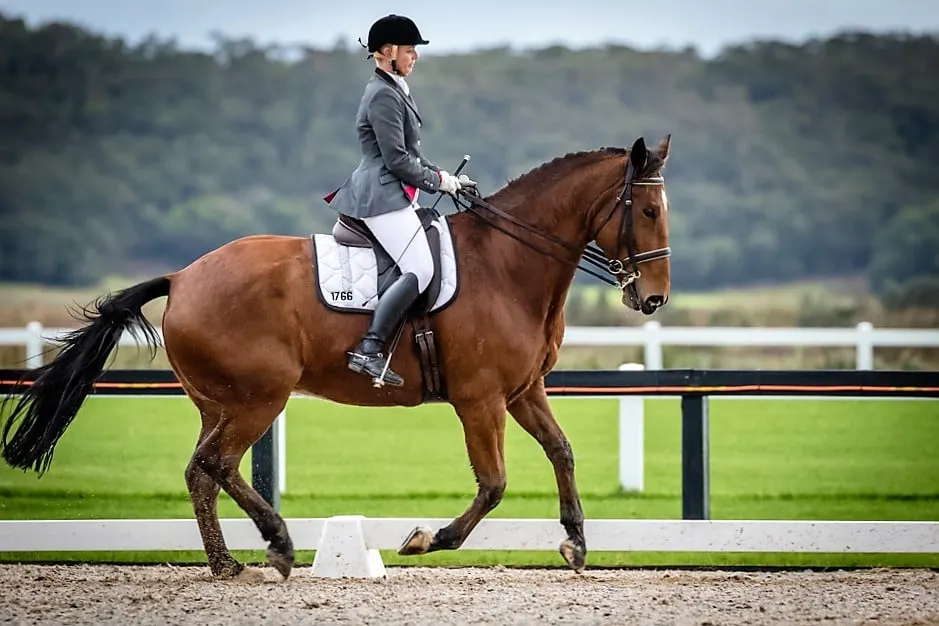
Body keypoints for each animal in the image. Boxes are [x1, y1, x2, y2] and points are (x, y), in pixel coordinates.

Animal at [1, 134, 676, 576]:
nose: (653, 298)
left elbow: (562, 452)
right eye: (647, 210)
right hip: (260, 397)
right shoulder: (480, 399)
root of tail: (183, 276)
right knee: (218, 464)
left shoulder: (522, 391)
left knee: (200, 470)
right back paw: (277, 544)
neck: (509, 264)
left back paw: (227, 564)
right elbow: (493, 484)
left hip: (219, 401)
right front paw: (426, 539)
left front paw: (576, 544)